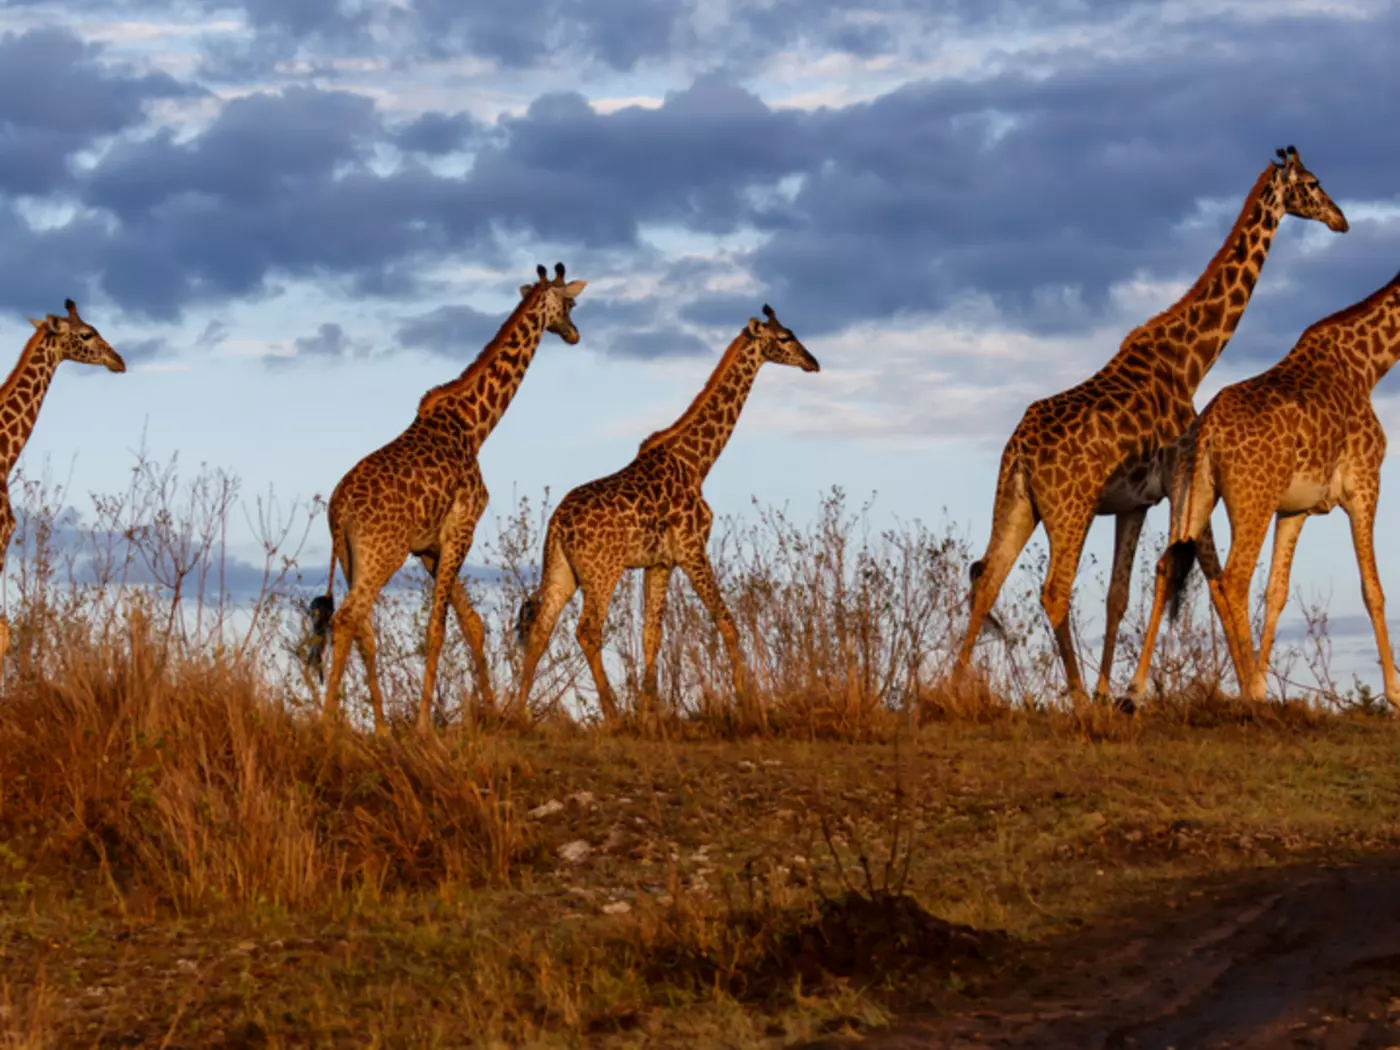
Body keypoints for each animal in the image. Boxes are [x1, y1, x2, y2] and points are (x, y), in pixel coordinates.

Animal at [307, 263, 587, 733]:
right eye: (570, 303)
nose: (573, 334)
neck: (475, 426)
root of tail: (337, 509)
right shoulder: (461, 528)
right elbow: (438, 627)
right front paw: (424, 725)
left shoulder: (430, 549)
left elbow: (471, 623)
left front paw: (491, 711)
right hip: (382, 553)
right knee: (347, 617)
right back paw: (328, 725)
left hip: (349, 557)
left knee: (362, 626)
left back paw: (380, 728)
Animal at [513, 305, 819, 725]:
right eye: (785, 338)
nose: (813, 362)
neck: (697, 462)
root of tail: (556, 523)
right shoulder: (692, 549)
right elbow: (726, 620)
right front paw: (746, 702)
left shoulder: (659, 562)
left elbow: (651, 635)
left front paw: (650, 713)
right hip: (602, 570)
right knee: (588, 630)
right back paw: (612, 715)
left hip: (563, 569)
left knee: (541, 629)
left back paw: (515, 711)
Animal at [952, 146, 1348, 703]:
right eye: (1312, 183)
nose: (1341, 220)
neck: (1189, 360)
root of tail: (1020, 452)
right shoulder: (1183, 484)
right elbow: (1215, 578)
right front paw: (1250, 689)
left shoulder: (1134, 504)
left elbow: (1119, 595)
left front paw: (1109, 692)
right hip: (1070, 509)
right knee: (1053, 591)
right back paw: (1075, 701)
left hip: (1016, 504)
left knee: (987, 580)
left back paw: (948, 689)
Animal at [1129, 271, 1400, 706]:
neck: (1369, 365)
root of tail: (1206, 432)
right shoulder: (1364, 483)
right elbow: (1372, 589)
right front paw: (1395, 693)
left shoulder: (1294, 508)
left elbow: (1277, 592)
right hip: (1251, 500)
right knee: (1234, 579)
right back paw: (1253, 693)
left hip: (1187, 498)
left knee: (1166, 567)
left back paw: (1134, 692)